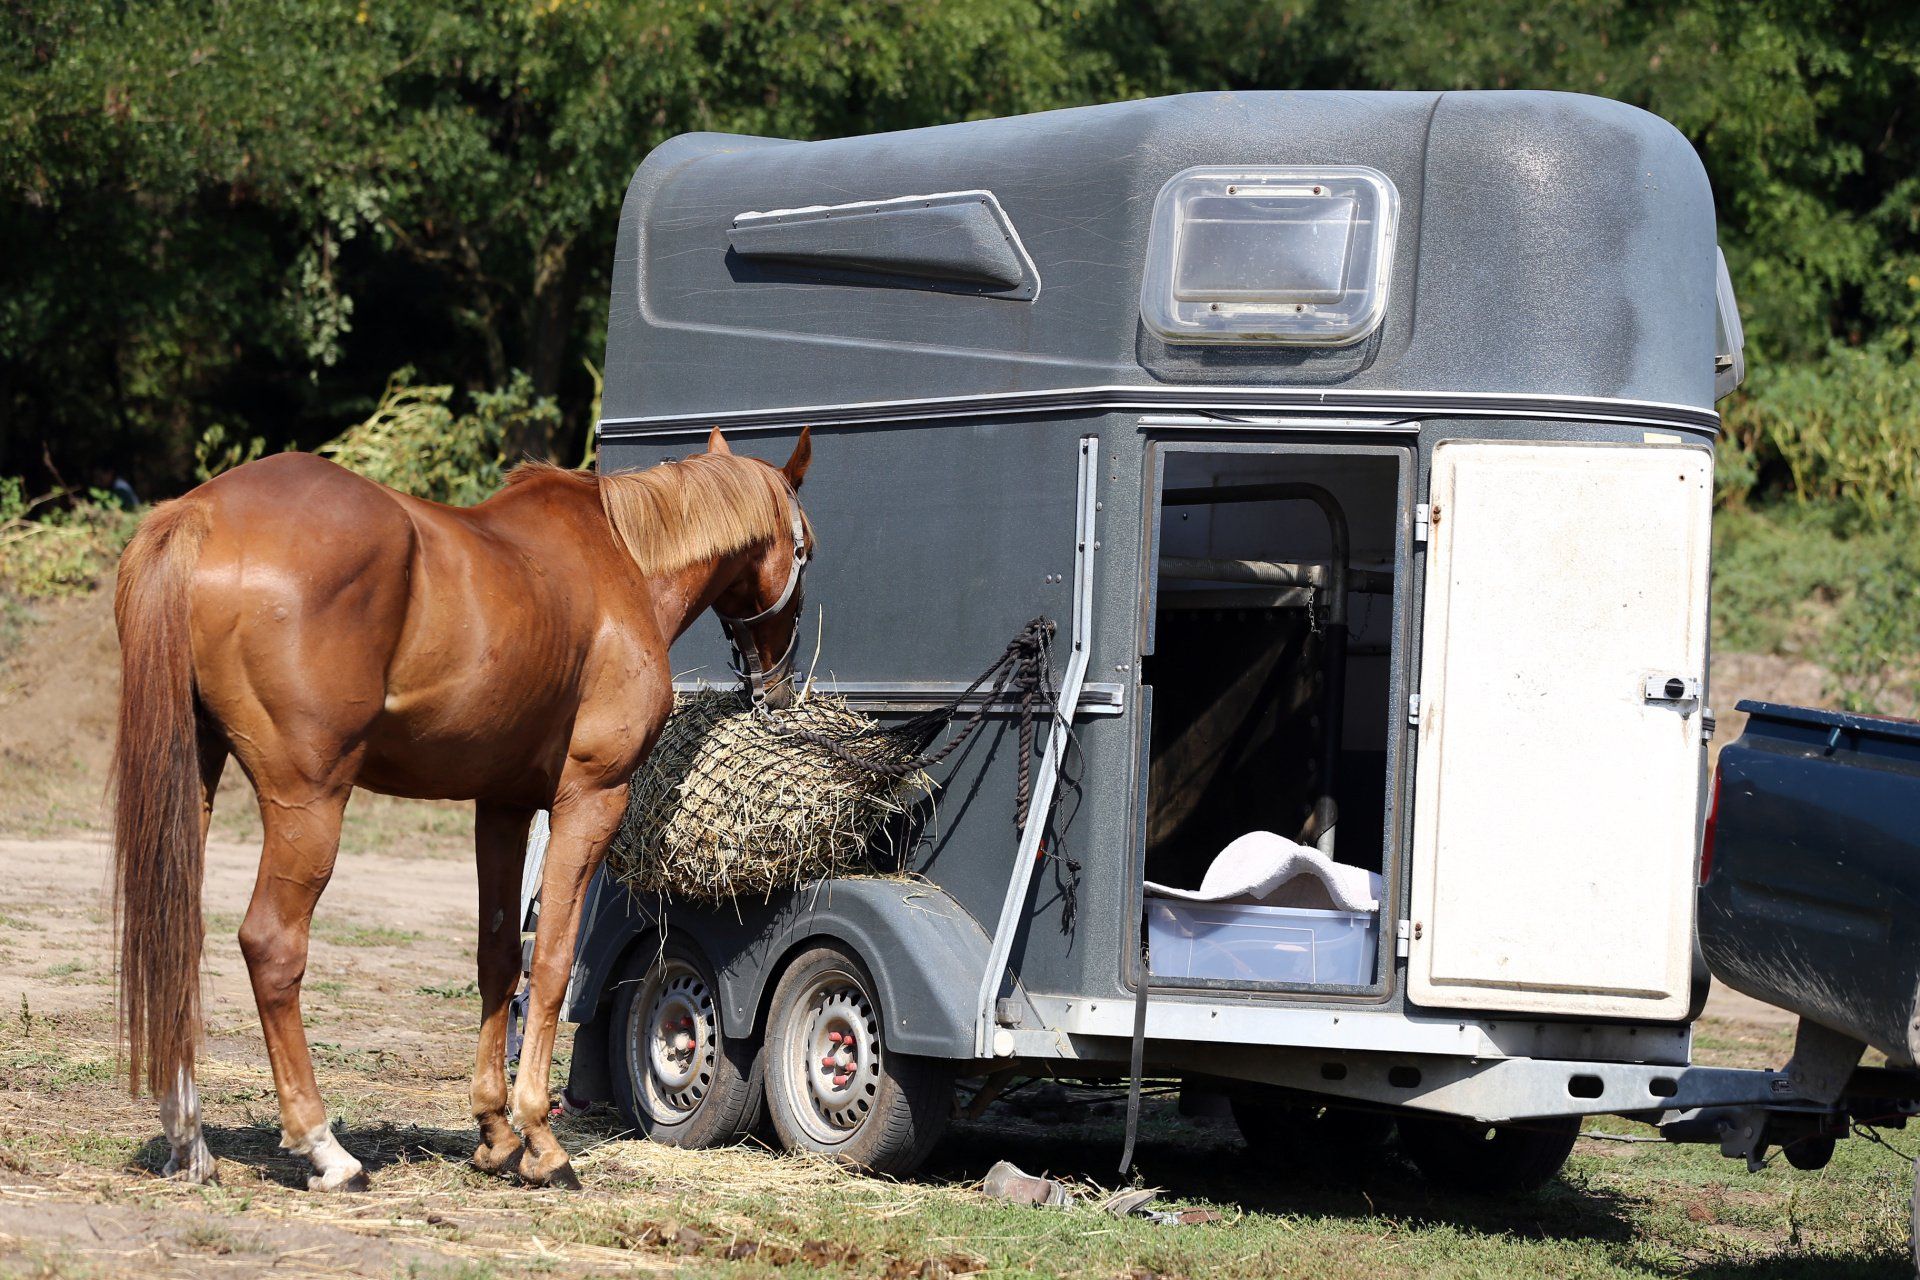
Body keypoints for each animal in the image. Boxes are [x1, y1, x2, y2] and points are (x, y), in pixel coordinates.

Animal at [110, 427, 812, 1191]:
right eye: (804, 548)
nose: (777, 686)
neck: (620, 559)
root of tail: (201, 514)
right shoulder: (590, 799)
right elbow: (552, 963)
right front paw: (541, 1140)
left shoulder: (502, 805)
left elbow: (498, 958)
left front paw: (495, 1132)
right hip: (310, 802)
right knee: (271, 945)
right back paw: (325, 1149)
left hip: (193, 786)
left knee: (175, 932)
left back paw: (189, 1141)